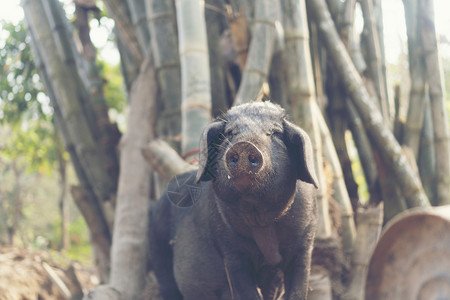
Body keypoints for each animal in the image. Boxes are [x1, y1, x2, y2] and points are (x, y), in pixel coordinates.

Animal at [149, 102, 318, 298]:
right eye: (230, 133)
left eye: (274, 132)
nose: (245, 145)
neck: (261, 221)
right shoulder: (230, 249)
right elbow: (245, 289)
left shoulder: (305, 242)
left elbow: (298, 286)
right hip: (159, 252)